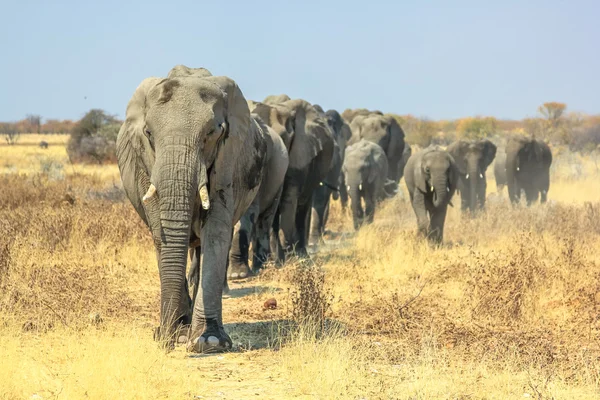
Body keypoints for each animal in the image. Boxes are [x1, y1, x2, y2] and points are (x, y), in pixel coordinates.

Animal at [116, 66, 266, 354]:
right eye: (148, 133)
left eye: (212, 133)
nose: (164, 338)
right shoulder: (145, 165)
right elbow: (161, 235)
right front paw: (174, 334)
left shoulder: (229, 158)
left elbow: (215, 233)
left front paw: (210, 342)